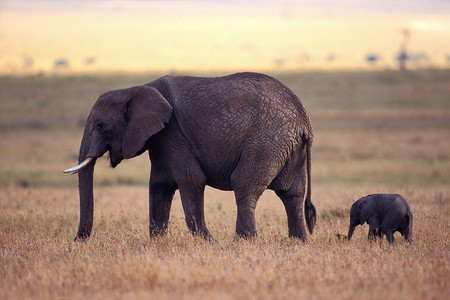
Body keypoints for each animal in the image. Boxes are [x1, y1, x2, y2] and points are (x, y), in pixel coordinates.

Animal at [64, 72, 316, 241]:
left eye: (100, 125)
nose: (76, 241)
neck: (135, 89)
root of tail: (305, 121)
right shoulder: (161, 139)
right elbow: (159, 187)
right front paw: (158, 245)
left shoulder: (172, 133)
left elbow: (192, 180)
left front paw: (209, 243)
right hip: (288, 146)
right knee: (293, 193)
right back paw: (298, 243)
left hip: (267, 140)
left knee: (244, 185)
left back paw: (242, 242)